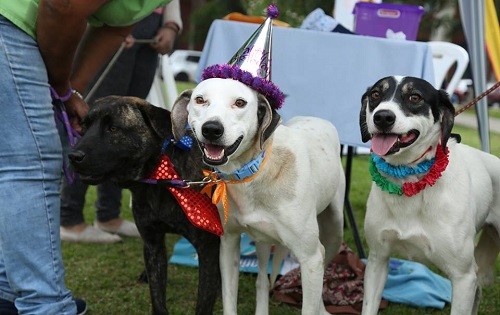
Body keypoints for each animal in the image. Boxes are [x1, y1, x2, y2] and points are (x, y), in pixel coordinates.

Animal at [68, 96, 221, 315]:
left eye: (113, 128)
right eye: (84, 126)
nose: (73, 156)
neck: (159, 178)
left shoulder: (207, 247)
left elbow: (203, 302)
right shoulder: (152, 242)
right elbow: (157, 297)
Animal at [171, 78, 344, 314]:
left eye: (240, 102)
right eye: (200, 99)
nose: (212, 129)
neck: (254, 170)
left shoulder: (311, 258)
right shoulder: (229, 243)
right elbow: (229, 299)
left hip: (334, 233)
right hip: (263, 240)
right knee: (262, 279)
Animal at [360, 76, 500, 315]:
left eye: (415, 97)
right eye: (376, 94)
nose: (383, 117)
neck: (408, 181)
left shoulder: (463, 278)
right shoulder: (378, 259)